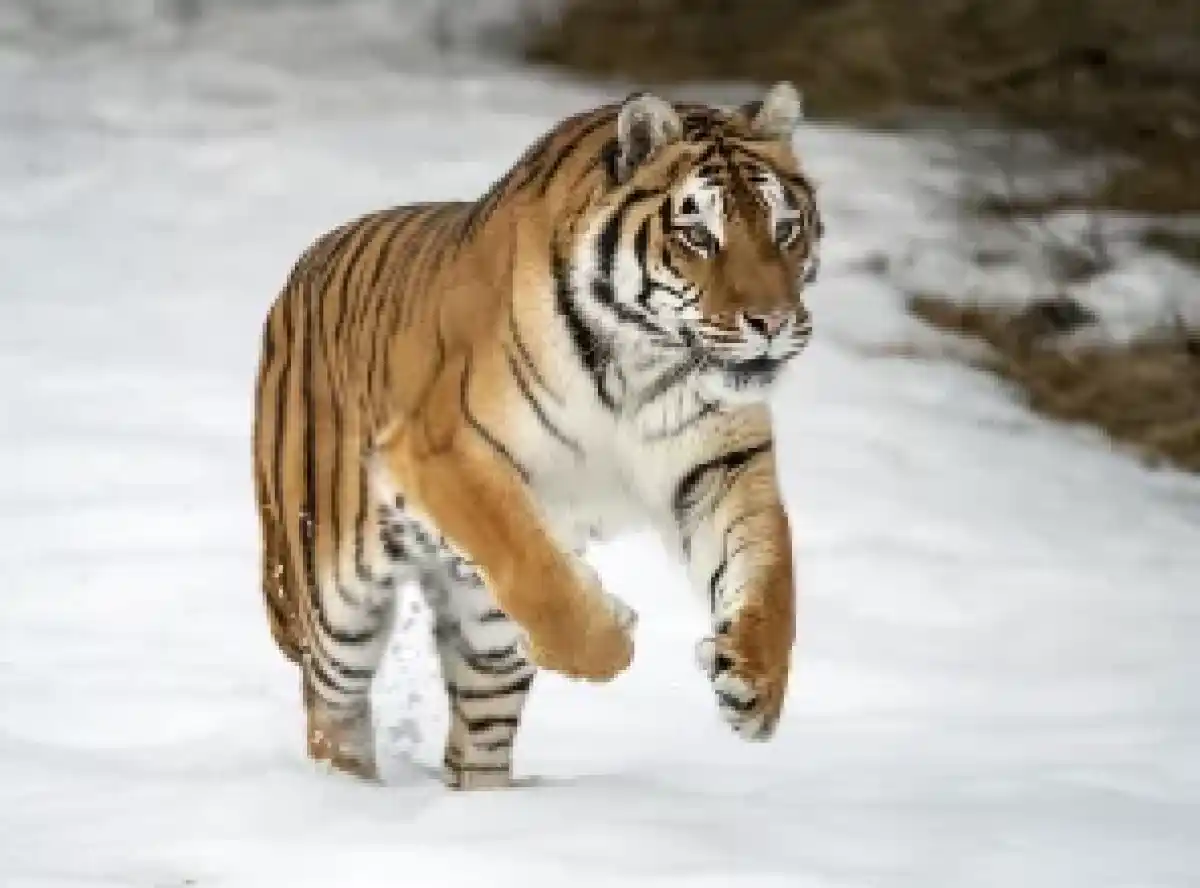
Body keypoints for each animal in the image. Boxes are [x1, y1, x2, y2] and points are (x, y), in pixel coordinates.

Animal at [252, 80, 822, 790]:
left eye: (786, 228)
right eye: (698, 235)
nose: (773, 323)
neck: (642, 358)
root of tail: (298, 274)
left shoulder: (723, 462)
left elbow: (771, 572)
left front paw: (754, 684)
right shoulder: (445, 449)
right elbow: (535, 569)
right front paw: (615, 637)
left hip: (484, 632)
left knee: (478, 736)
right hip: (334, 592)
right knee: (332, 704)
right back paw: (346, 792)